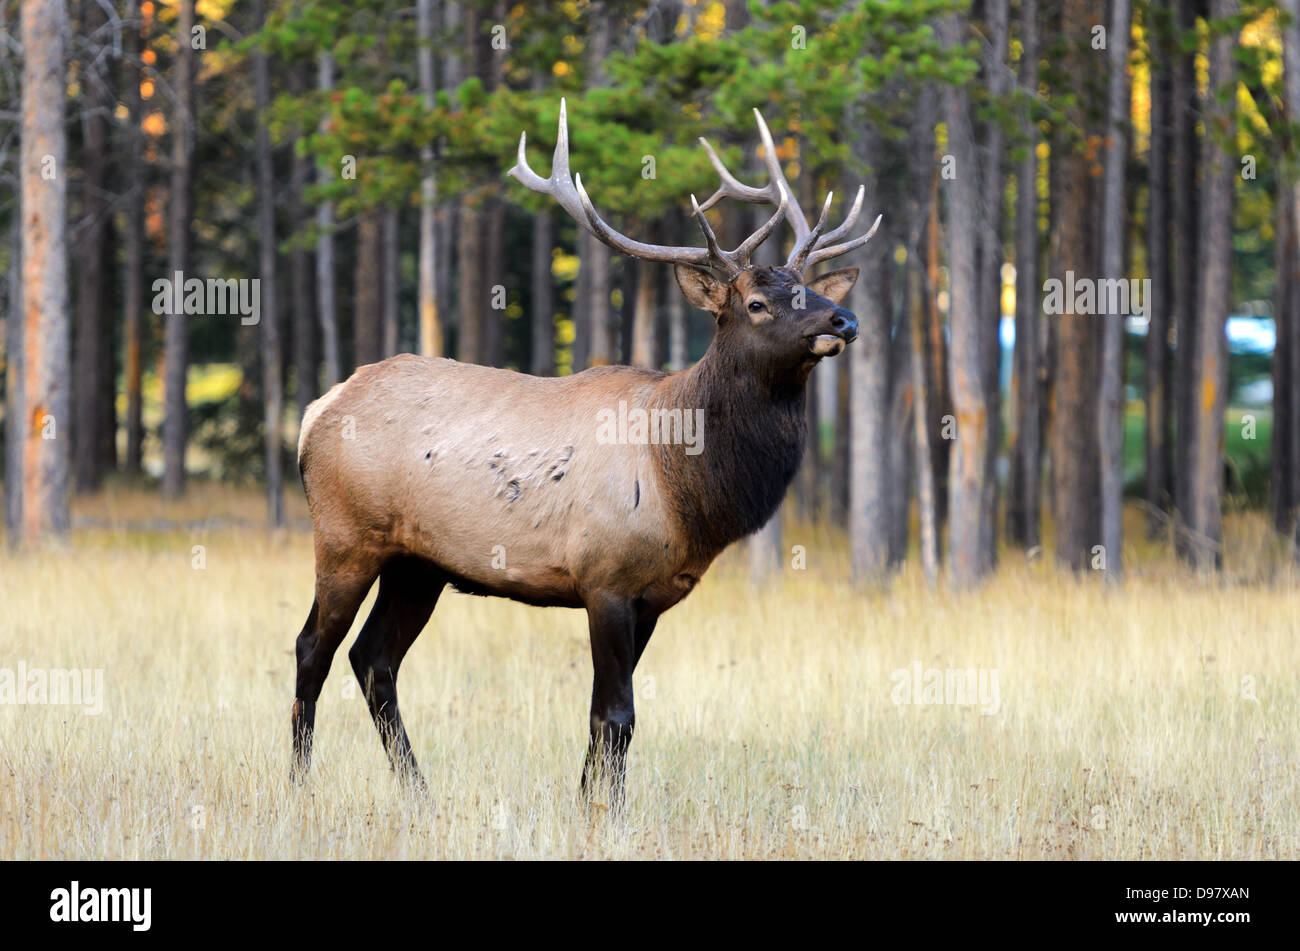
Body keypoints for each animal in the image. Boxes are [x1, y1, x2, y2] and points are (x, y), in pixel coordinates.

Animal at [290, 101, 881, 808]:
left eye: (808, 288)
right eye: (757, 304)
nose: (843, 320)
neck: (685, 486)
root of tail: (316, 412)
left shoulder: (653, 595)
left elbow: (604, 719)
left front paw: (586, 805)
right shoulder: (605, 576)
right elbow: (618, 714)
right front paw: (608, 814)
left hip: (419, 563)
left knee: (374, 659)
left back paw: (420, 794)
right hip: (345, 535)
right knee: (312, 650)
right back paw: (297, 787)